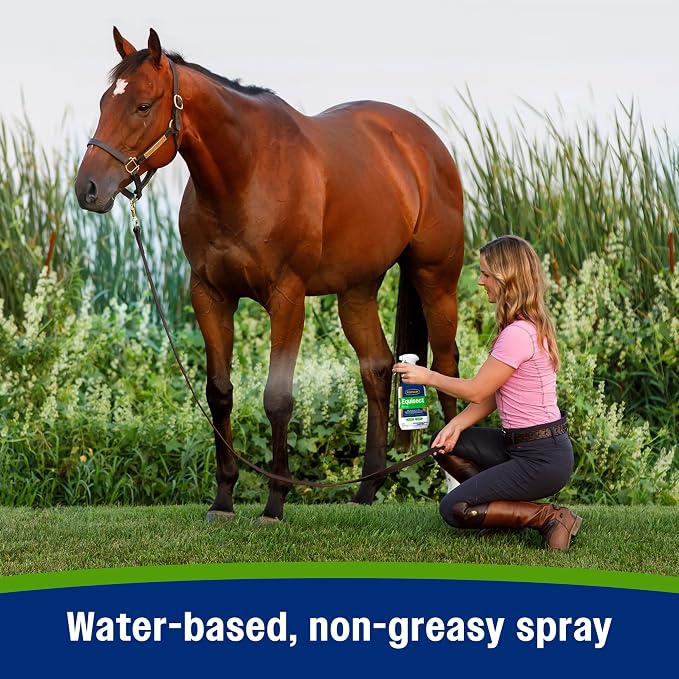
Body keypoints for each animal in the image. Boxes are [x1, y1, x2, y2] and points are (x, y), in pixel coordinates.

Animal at [75, 28, 464, 521]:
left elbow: (278, 399)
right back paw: (365, 490)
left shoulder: (287, 297)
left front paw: (274, 504)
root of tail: (422, 142)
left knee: (447, 365)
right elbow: (219, 393)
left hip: (436, 277)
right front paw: (223, 500)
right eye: (105, 101)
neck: (246, 174)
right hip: (357, 290)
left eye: (143, 106)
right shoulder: (209, 295)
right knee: (376, 367)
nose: (88, 189)